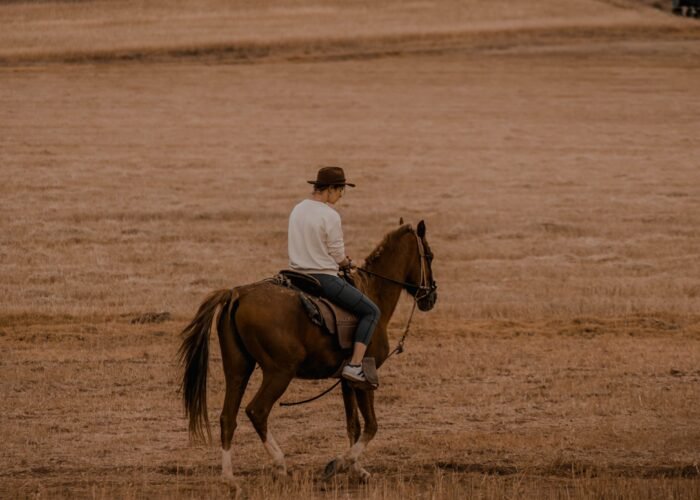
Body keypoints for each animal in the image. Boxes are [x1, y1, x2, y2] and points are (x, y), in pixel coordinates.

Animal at [178, 219, 434, 484]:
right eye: (430, 256)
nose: (431, 295)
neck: (373, 291)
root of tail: (237, 293)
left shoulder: (346, 382)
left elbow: (353, 425)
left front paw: (355, 468)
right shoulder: (365, 380)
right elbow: (371, 426)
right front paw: (338, 464)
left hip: (238, 370)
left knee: (228, 418)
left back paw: (229, 479)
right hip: (279, 373)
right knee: (257, 411)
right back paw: (279, 464)